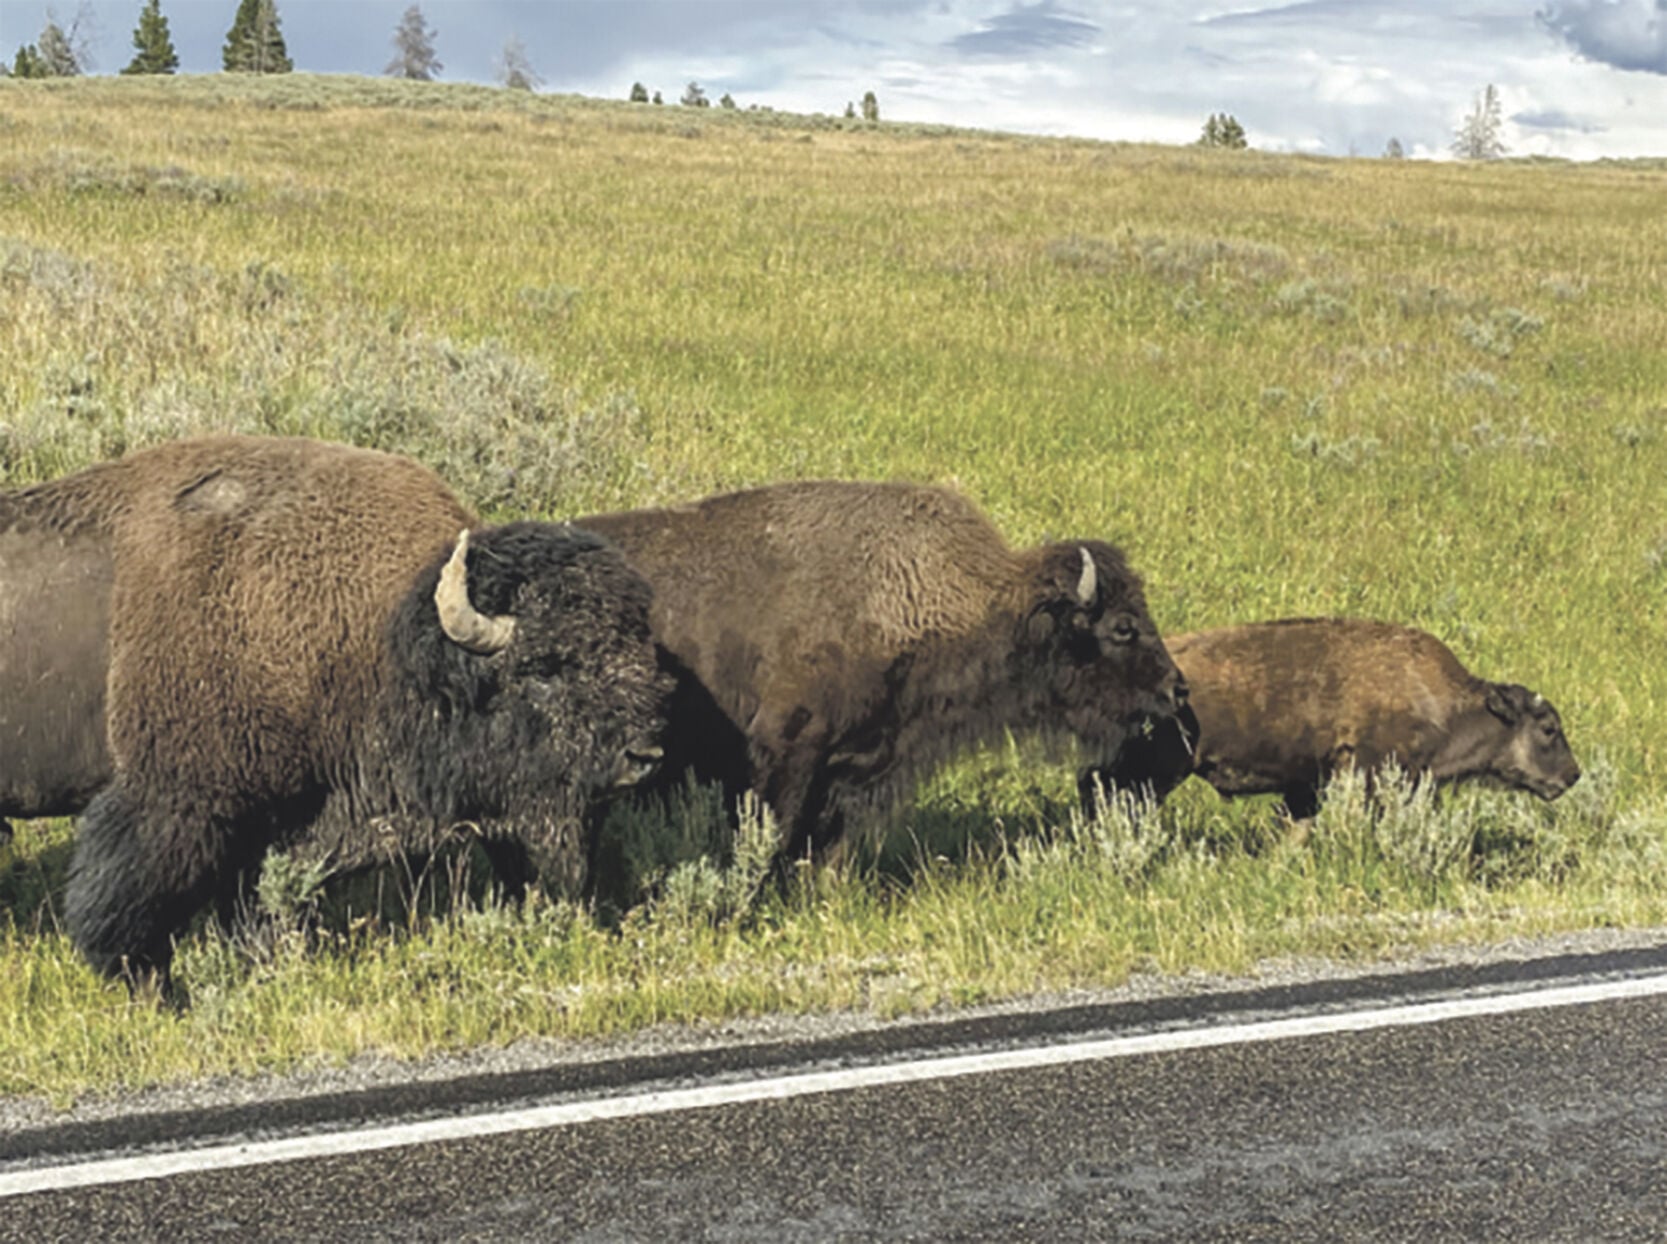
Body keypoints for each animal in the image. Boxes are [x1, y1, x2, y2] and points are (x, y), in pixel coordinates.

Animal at [2, 436, 673, 989]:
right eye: (544, 668)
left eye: (634, 649)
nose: (643, 755)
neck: (384, 635)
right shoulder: (174, 803)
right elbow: (126, 909)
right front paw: (157, 993)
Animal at [576, 480, 1187, 863]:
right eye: (1123, 627)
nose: (1176, 688)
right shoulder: (787, 746)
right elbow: (777, 829)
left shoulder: (859, 763)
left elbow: (828, 844)